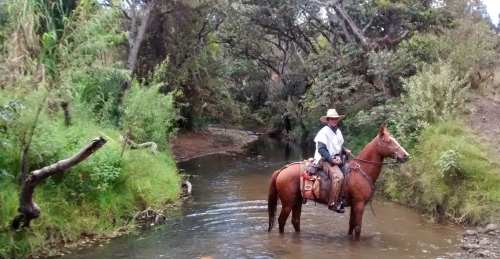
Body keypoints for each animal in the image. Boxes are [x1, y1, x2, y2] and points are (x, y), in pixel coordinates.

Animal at [268, 125, 408, 241]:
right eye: (388, 141)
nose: (406, 155)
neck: (363, 170)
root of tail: (282, 170)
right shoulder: (359, 204)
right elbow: (358, 228)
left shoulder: (355, 205)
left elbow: (351, 225)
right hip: (288, 202)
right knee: (281, 220)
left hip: (297, 201)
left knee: (295, 221)